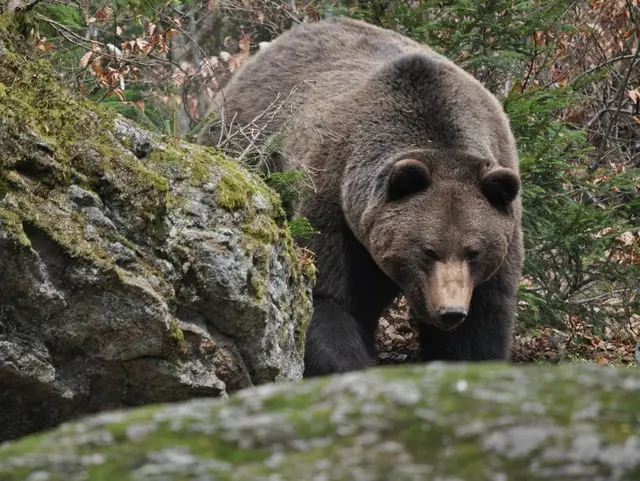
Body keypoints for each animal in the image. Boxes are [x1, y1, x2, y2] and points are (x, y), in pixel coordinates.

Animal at [198, 15, 524, 378]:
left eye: (473, 251)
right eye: (428, 251)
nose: (450, 311)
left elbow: (481, 324)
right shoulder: (336, 202)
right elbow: (328, 297)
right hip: (251, 145)